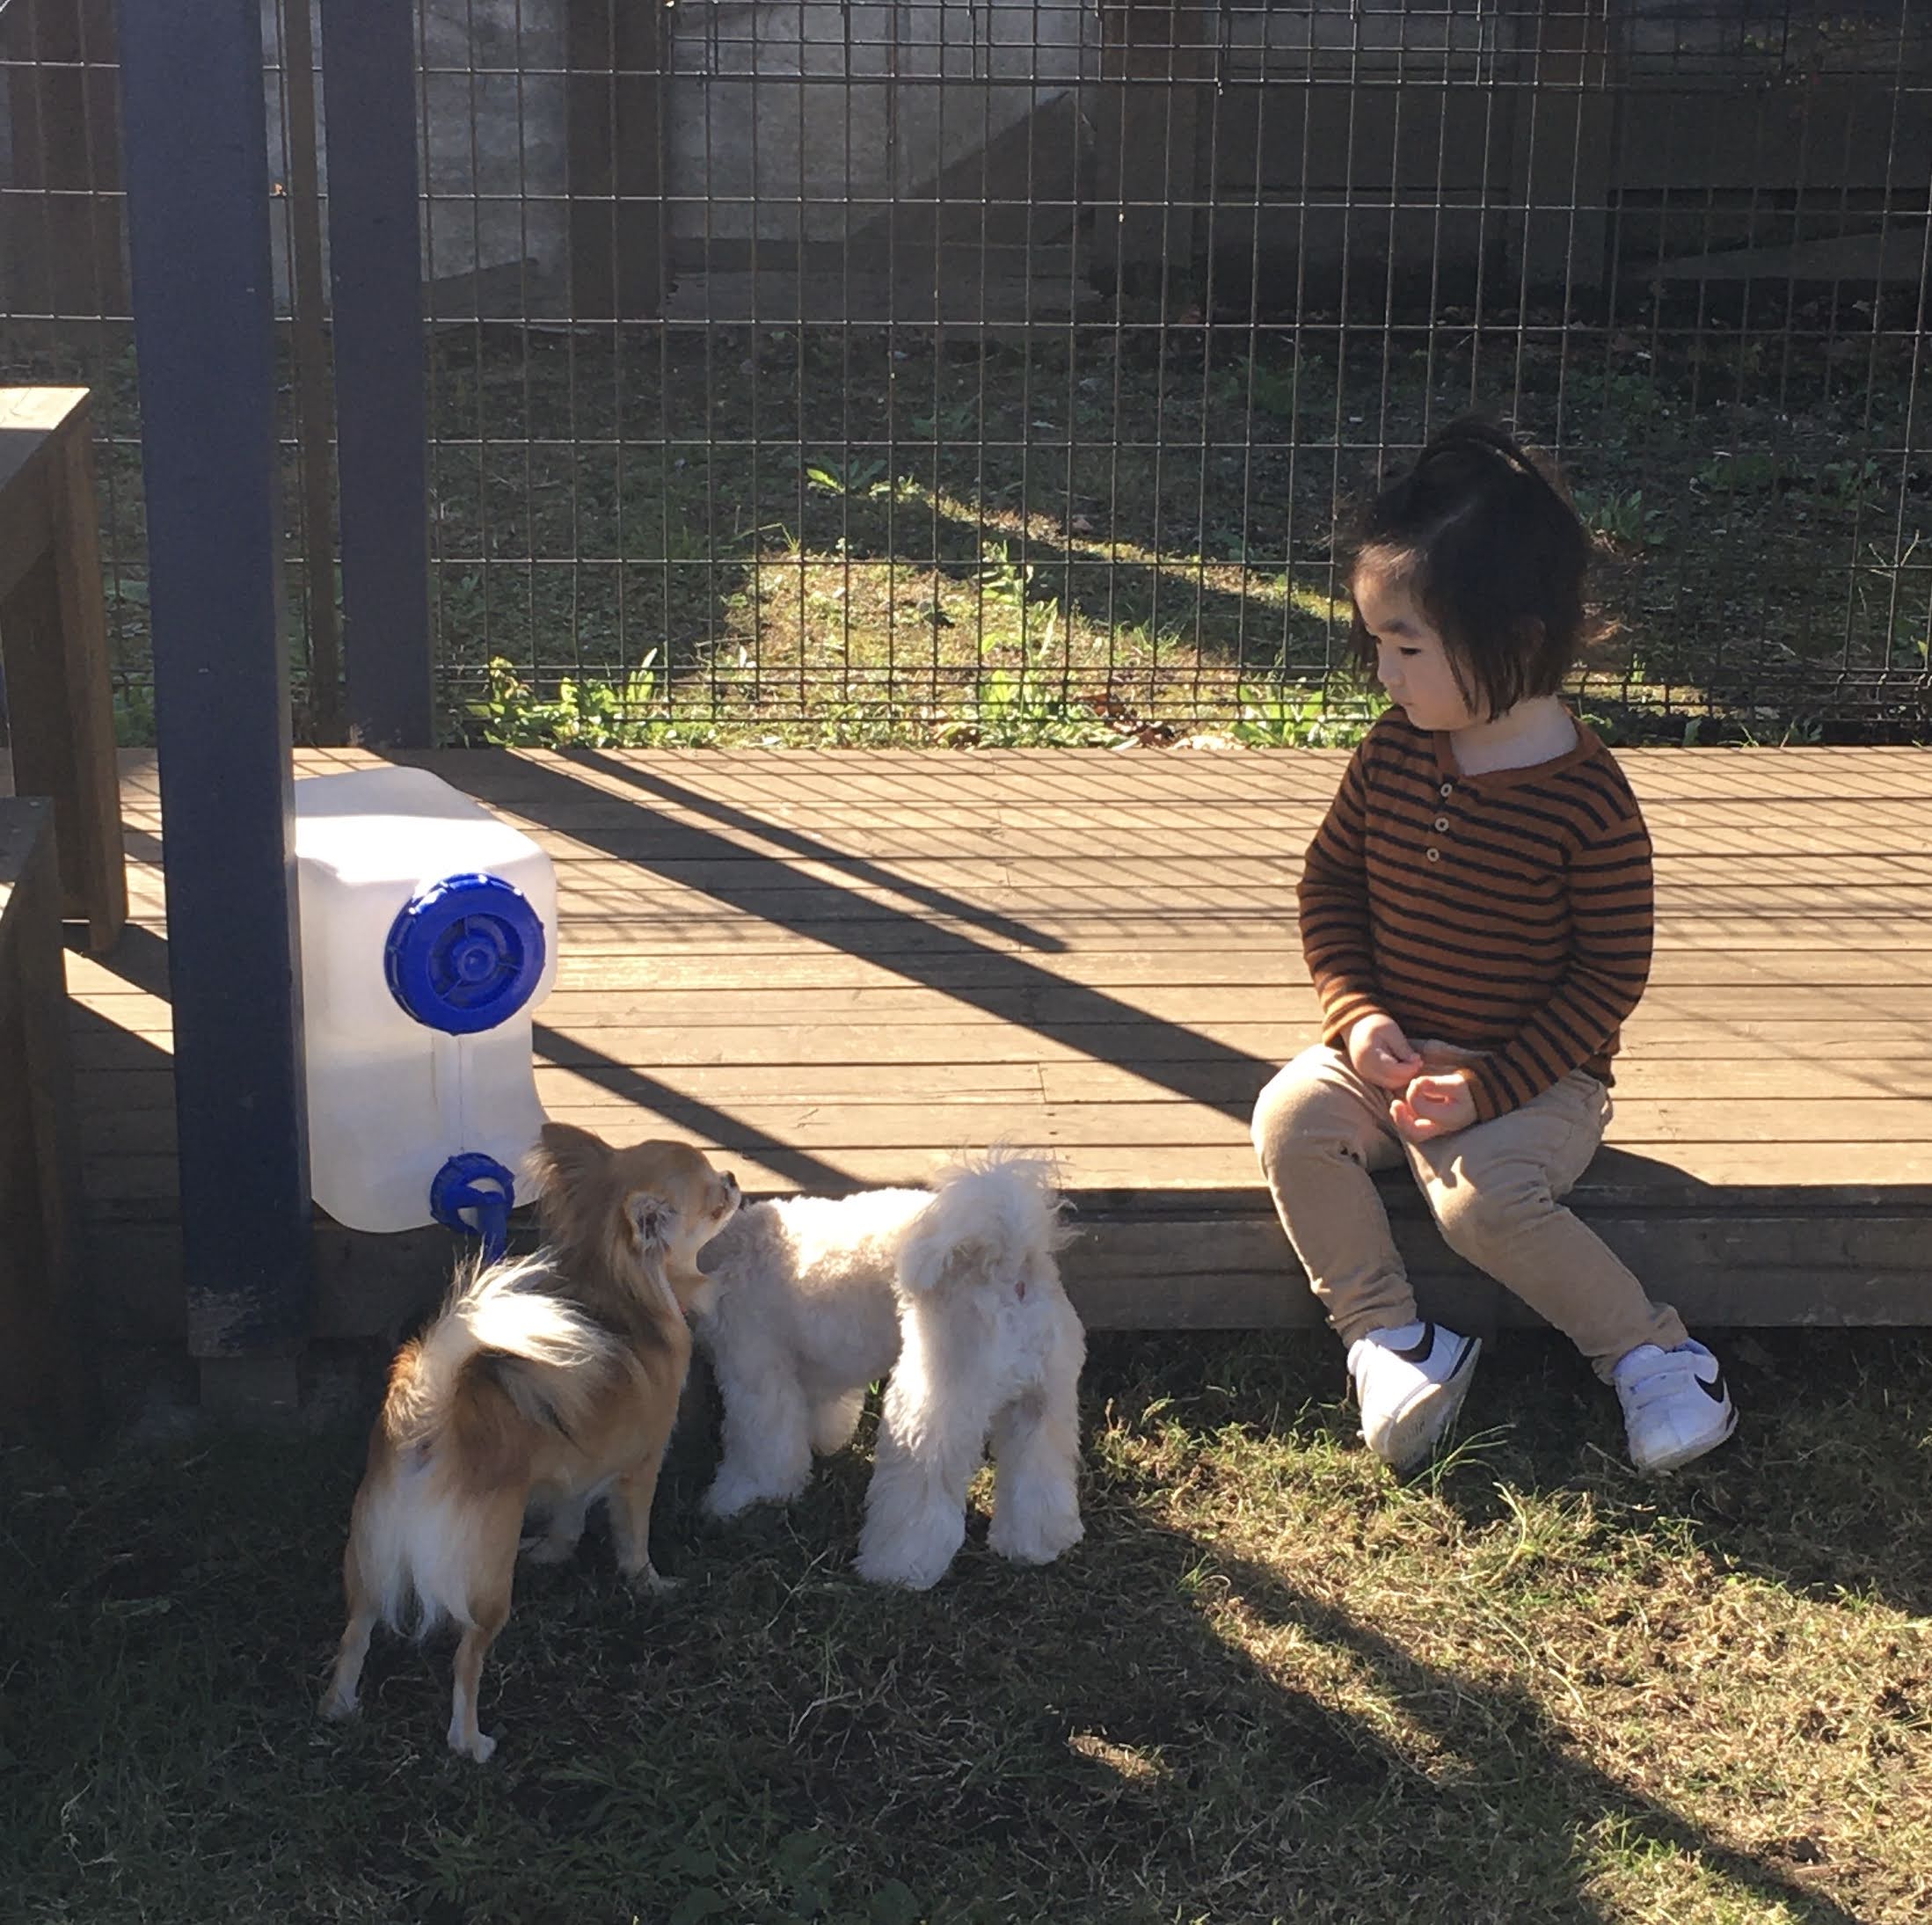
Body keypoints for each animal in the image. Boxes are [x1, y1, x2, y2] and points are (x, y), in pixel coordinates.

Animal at [319, 1124, 740, 1761]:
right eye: (715, 1200)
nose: (736, 1179)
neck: (619, 1287)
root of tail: (428, 1418)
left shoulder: (575, 1470)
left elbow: (568, 1518)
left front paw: (551, 1551)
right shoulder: (638, 1468)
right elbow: (633, 1539)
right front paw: (651, 1584)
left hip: (369, 1557)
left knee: (354, 1633)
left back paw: (340, 1705)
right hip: (487, 1582)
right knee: (466, 1658)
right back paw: (471, 1741)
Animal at [695, 1150, 1086, 1590]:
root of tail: (1006, 1257)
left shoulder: (756, 1371)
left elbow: (762, 1448)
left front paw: (740, 1498)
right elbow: (821, 1414)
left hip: (931, 1406)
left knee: (922, 1490)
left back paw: (896, 1569)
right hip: (1044, 1400)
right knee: (1038, 1473)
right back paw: (1036, 1545)